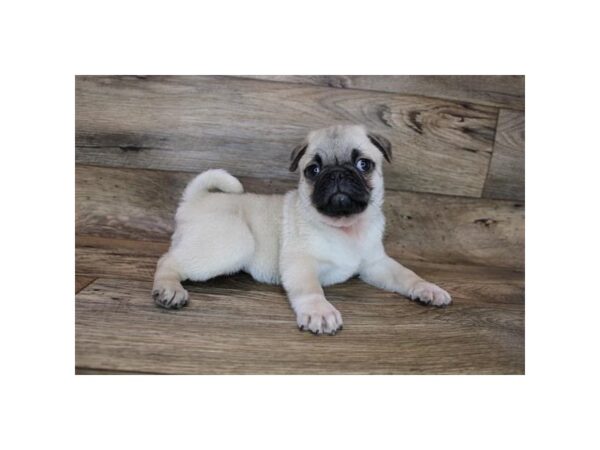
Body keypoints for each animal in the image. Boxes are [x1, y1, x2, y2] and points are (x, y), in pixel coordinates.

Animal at [152, 125, 452, 336]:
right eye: (313, 170)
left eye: (363, 164)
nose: (337, 173)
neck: (345, 227)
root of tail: (195, 199)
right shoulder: (300, 262)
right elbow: (311, 289)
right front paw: (320, 312)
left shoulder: (376, 264)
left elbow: (406, 274)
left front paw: (427, 288)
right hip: (233, 242)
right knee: (167, 260)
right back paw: (169, 289)